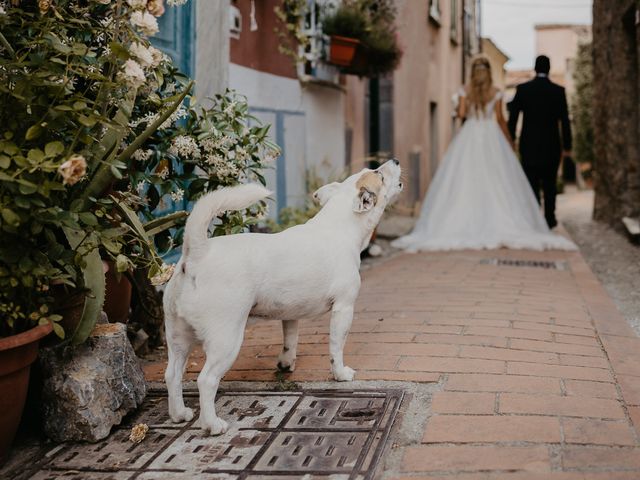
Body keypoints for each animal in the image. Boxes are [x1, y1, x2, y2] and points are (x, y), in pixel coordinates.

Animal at [165, 159, 402, 434]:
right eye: (379, 174)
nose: (395, 160)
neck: (338, 226)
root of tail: (197, 253)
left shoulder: (290, 314)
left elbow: (290, 340)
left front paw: (286, 364)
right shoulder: (344, 308)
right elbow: (336, 346)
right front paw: (340, 374)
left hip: (178, 338)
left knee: (173, 374)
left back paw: (179, 413)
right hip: (226, 340)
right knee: (206, 380)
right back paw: (212, 424)